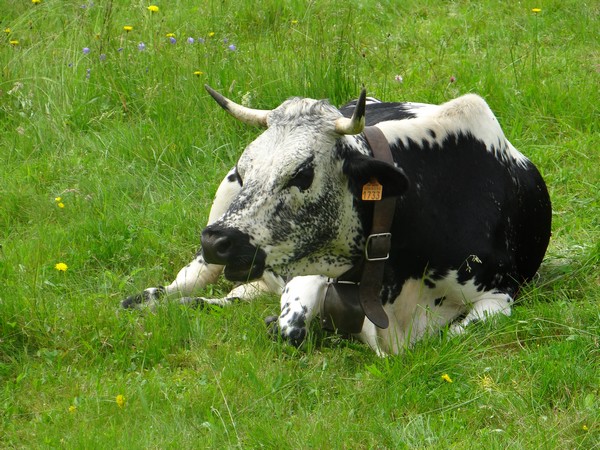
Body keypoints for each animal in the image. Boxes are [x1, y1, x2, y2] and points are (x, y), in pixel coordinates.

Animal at [123, 85, 552, 356]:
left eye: (301, 174)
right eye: (244, 170)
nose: (216, 241)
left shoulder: (499, 296)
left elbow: (454, 336)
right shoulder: (311, 269)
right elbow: (290, 326)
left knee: (230, 297)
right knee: (185, 282)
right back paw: (149, 299)